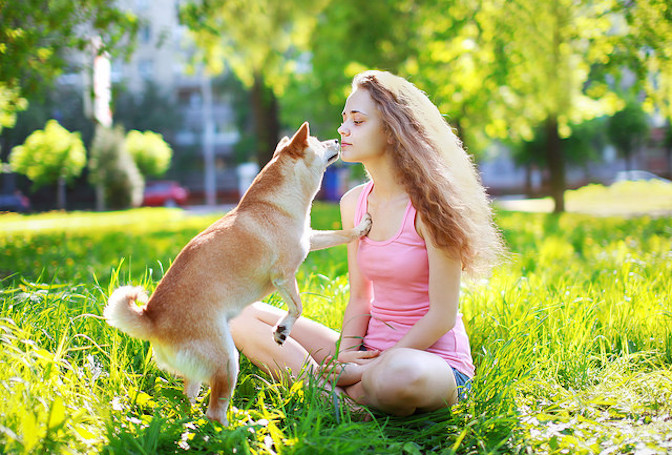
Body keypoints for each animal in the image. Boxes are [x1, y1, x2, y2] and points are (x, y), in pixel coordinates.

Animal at [103, 123, 372, 426]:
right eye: (318, 142)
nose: (337, 139)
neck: (273, 204)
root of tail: (151, 319)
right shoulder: (283, 275)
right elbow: (297, 307)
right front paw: (282, 330)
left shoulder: (310, 239)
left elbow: (339, 235)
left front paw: (360, 227)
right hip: (228, 360)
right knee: (215, 412)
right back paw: (240, 429)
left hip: (201, 372)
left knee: (191, 402)